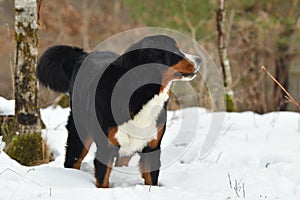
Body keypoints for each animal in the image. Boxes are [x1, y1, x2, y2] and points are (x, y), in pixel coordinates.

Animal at [37, 34, 202, 188]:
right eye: (175, 50)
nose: (199, 59)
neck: (142, 93)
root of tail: (84, 55)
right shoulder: (106, 147)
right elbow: (103, 180)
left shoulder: (152, 147)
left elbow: (151, 180)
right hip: (80, 134)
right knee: (73, 160)